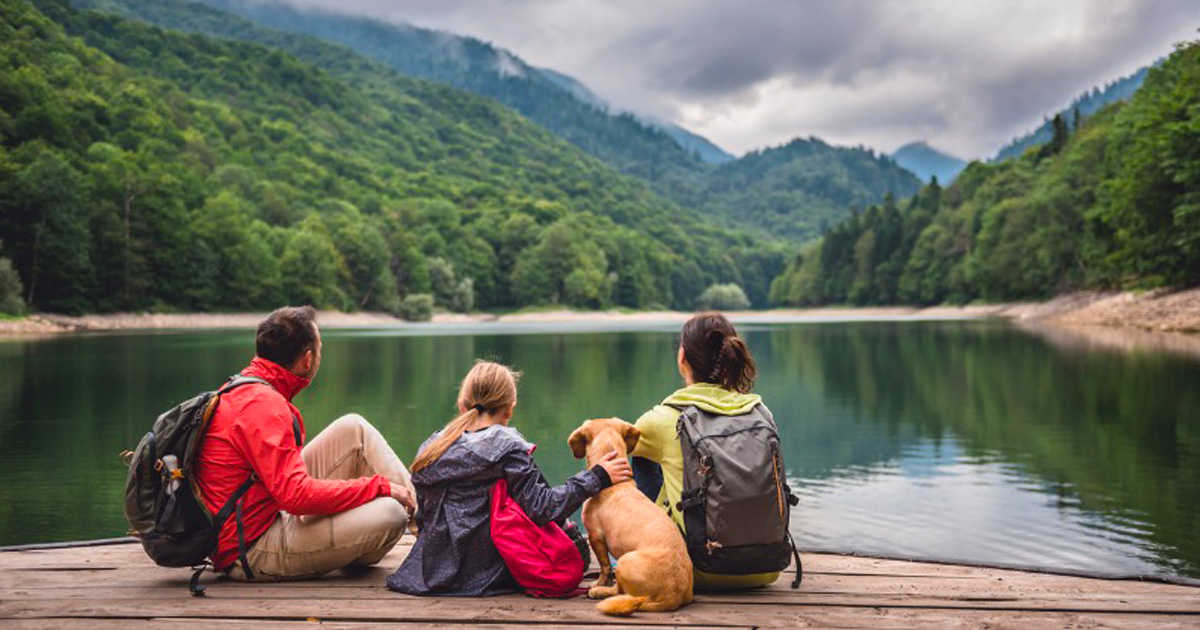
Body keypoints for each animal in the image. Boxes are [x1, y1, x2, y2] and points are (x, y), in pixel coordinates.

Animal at [568, 417, 696, 614]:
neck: (615, 483)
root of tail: (672, 597)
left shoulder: (595, 536)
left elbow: (605, 567)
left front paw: (598, 583)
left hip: (624, 561)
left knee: (619, 590)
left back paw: (598, 591)